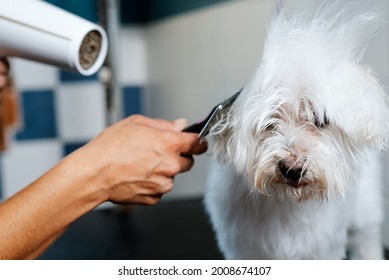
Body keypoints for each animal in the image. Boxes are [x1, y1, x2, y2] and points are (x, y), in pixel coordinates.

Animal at [203, 2, 388, 260]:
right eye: (270, 123)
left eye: (319, 119)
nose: (292, 168)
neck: (287, 203)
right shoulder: (244, 248)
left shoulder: (322, 249)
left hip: (364, 210)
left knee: (367, 239)